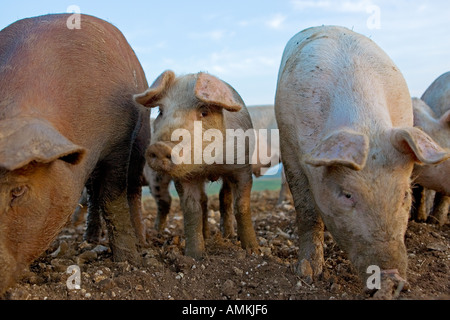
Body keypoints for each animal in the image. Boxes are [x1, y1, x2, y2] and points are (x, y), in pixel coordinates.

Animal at [0, 14, 151, 296]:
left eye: (18, 191)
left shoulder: (119, 140)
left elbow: (113, 199)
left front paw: (129, 261)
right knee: (92, 193)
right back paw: (87, 242)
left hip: (143, 135)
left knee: (133, 188)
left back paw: (143, 242)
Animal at [134, 70, 258, 260]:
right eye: (161, 111)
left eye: (204, 112)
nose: (160, 147)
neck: (209, 165)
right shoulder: (185, 177)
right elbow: (192, 211)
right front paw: (194, 256)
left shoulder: (242, 166)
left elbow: (242, 206)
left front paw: (253, 251)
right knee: (204, 200)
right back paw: (206, 235)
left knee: (224, 197)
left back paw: (228, 235)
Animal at [274, 26, 450, 292]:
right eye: (347, 194)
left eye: (404, 195)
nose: (390, 277)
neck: (365, 123)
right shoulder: (289, 148)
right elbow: (307, 211)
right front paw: (308, 274)